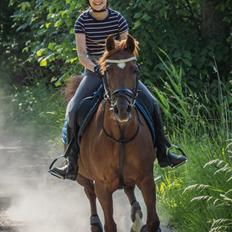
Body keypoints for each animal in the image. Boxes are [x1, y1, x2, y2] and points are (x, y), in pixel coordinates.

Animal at [64, 34, 160, 232]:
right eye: (107, 71)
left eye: (134, 70)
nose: (122, 109)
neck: (120, 136)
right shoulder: (103, 186)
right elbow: (110, 224)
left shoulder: (147, 179)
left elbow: (153, 221)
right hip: (81, 176)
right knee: (89, 193)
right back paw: (95, 222)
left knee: (129, 190)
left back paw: (136, 215)